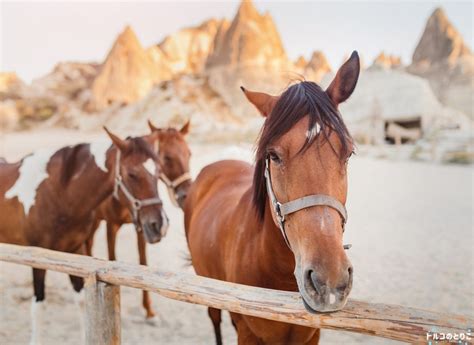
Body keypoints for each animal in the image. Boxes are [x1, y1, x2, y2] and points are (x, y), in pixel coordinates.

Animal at [0, 127, 167, 344]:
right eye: (131, 174)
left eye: (158, 173)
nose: (159, 225)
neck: (58, 192)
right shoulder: (37, 256)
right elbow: (38, 307)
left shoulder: (75, 251)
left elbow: (81, 301)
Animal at [85, 120, 191, 318]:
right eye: (167, 158)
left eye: (189, 154)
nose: (186, 194)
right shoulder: (111, 225)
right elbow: (112, 258)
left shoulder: (144, 227)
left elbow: (143, 262)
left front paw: (148, 309)